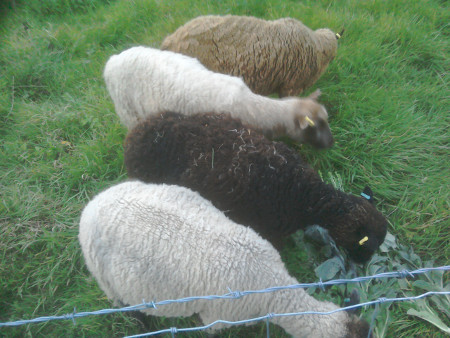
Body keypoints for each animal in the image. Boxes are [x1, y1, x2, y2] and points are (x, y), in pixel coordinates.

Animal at [79, 182, 370, 338]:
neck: (271, 284)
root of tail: (92, 205)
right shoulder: (218, 319)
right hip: (108, 281)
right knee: (126, 308)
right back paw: (144, 324)